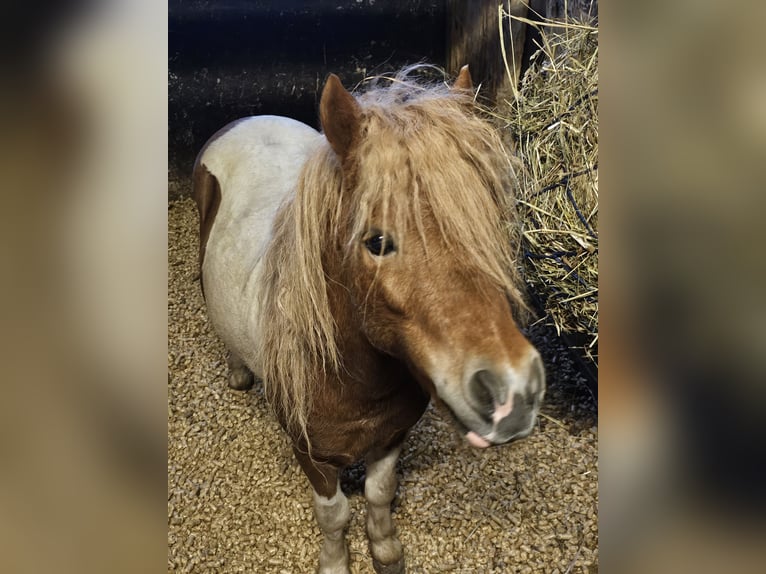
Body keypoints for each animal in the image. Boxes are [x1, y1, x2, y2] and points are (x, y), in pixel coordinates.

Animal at [195, 66, 548, 574]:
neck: (354, 380)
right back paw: (240, 373)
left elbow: (380, 494)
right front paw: (336, 562)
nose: (514, 390)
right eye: (376, 242)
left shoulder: (392, 438)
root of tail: (246, 120)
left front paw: (385, 551)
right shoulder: (313, 459)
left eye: (486, 223)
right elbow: (335, 515)